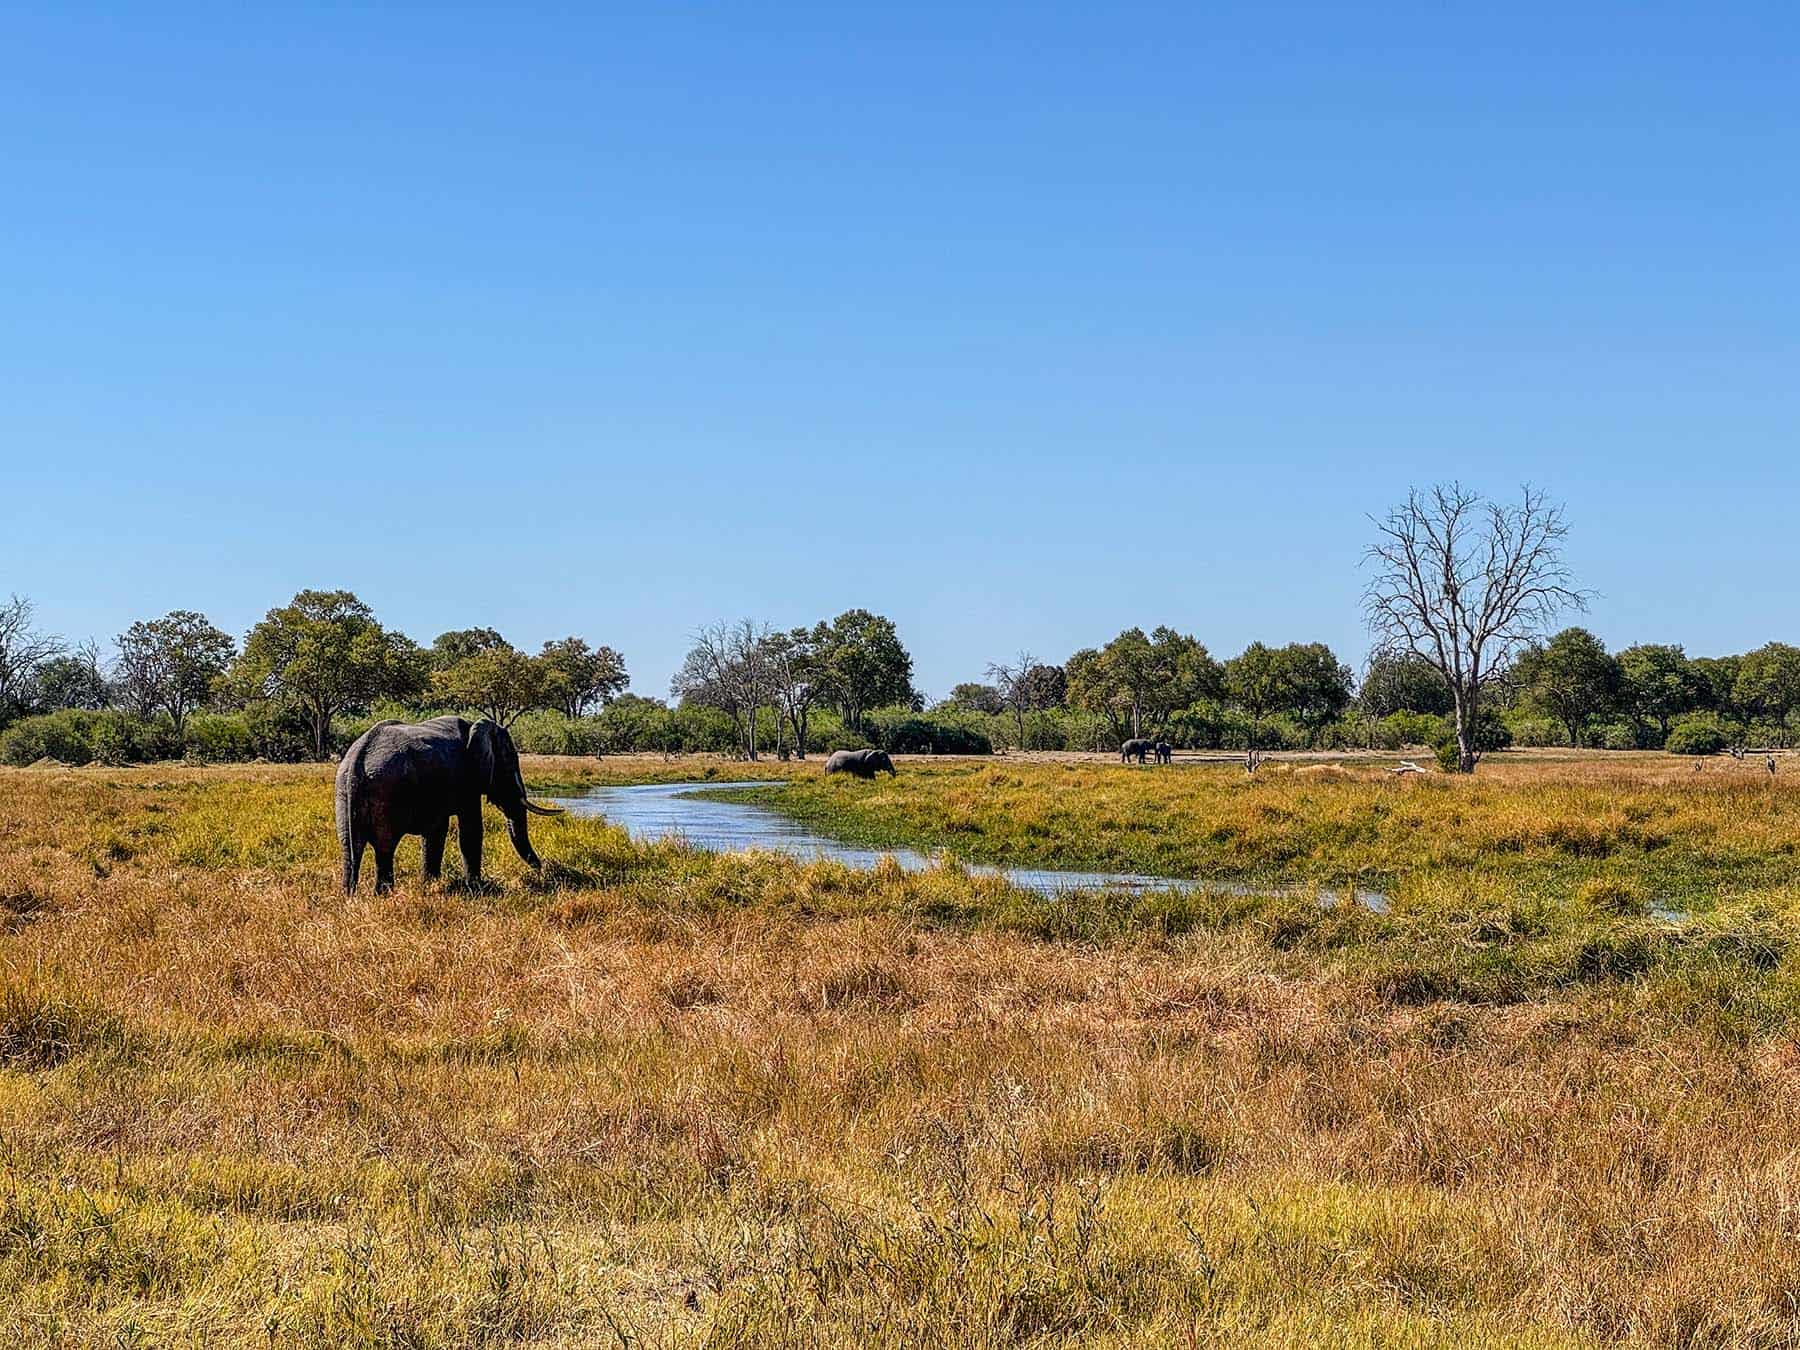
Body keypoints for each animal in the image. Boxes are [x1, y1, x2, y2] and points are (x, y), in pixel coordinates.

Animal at [335, 716, 561, 894]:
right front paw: (477, 888)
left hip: (344, 793)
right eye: (511, 763)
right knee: (385, 847)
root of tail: (356, 760)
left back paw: (350, 895)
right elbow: (470, 830)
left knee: (350, 846)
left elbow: (436, 831)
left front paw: (430, 884)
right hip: (387, 791)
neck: (476, 725)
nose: (542, 870)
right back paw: (384, 895)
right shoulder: (467, 778)